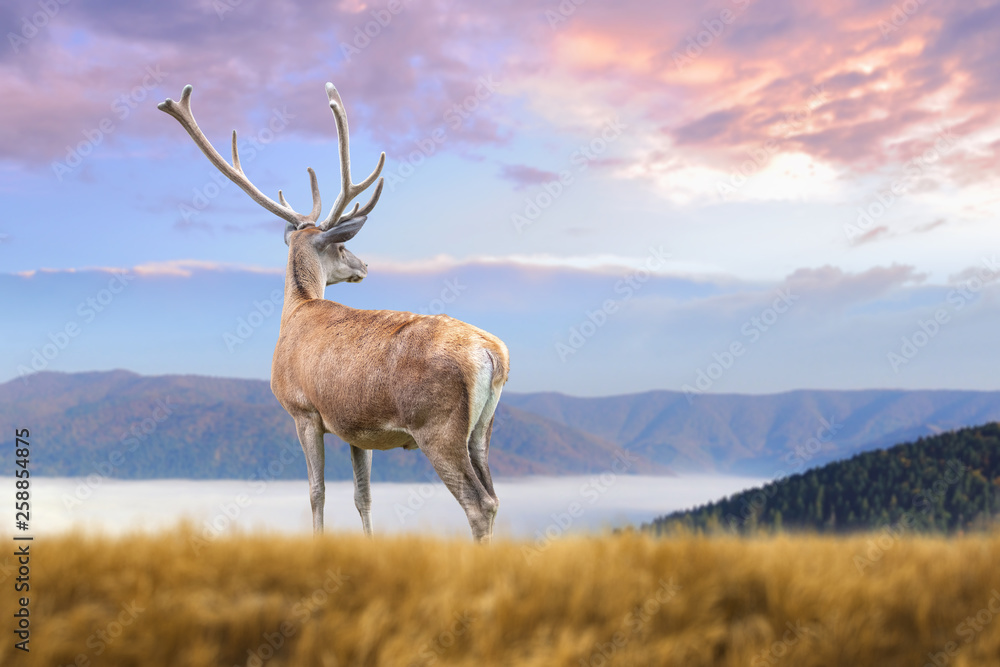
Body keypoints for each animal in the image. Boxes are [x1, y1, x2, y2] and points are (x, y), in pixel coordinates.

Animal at [158, 83, 508, 543]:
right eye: (342, 247)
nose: (364, 266)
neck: (297, 309)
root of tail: (493, 354)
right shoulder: (356, 427)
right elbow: (363, 495)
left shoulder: (303, 409)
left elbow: (316, 492)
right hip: (483, 428)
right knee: (496, 496)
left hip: (438, 425)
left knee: (478, 503)